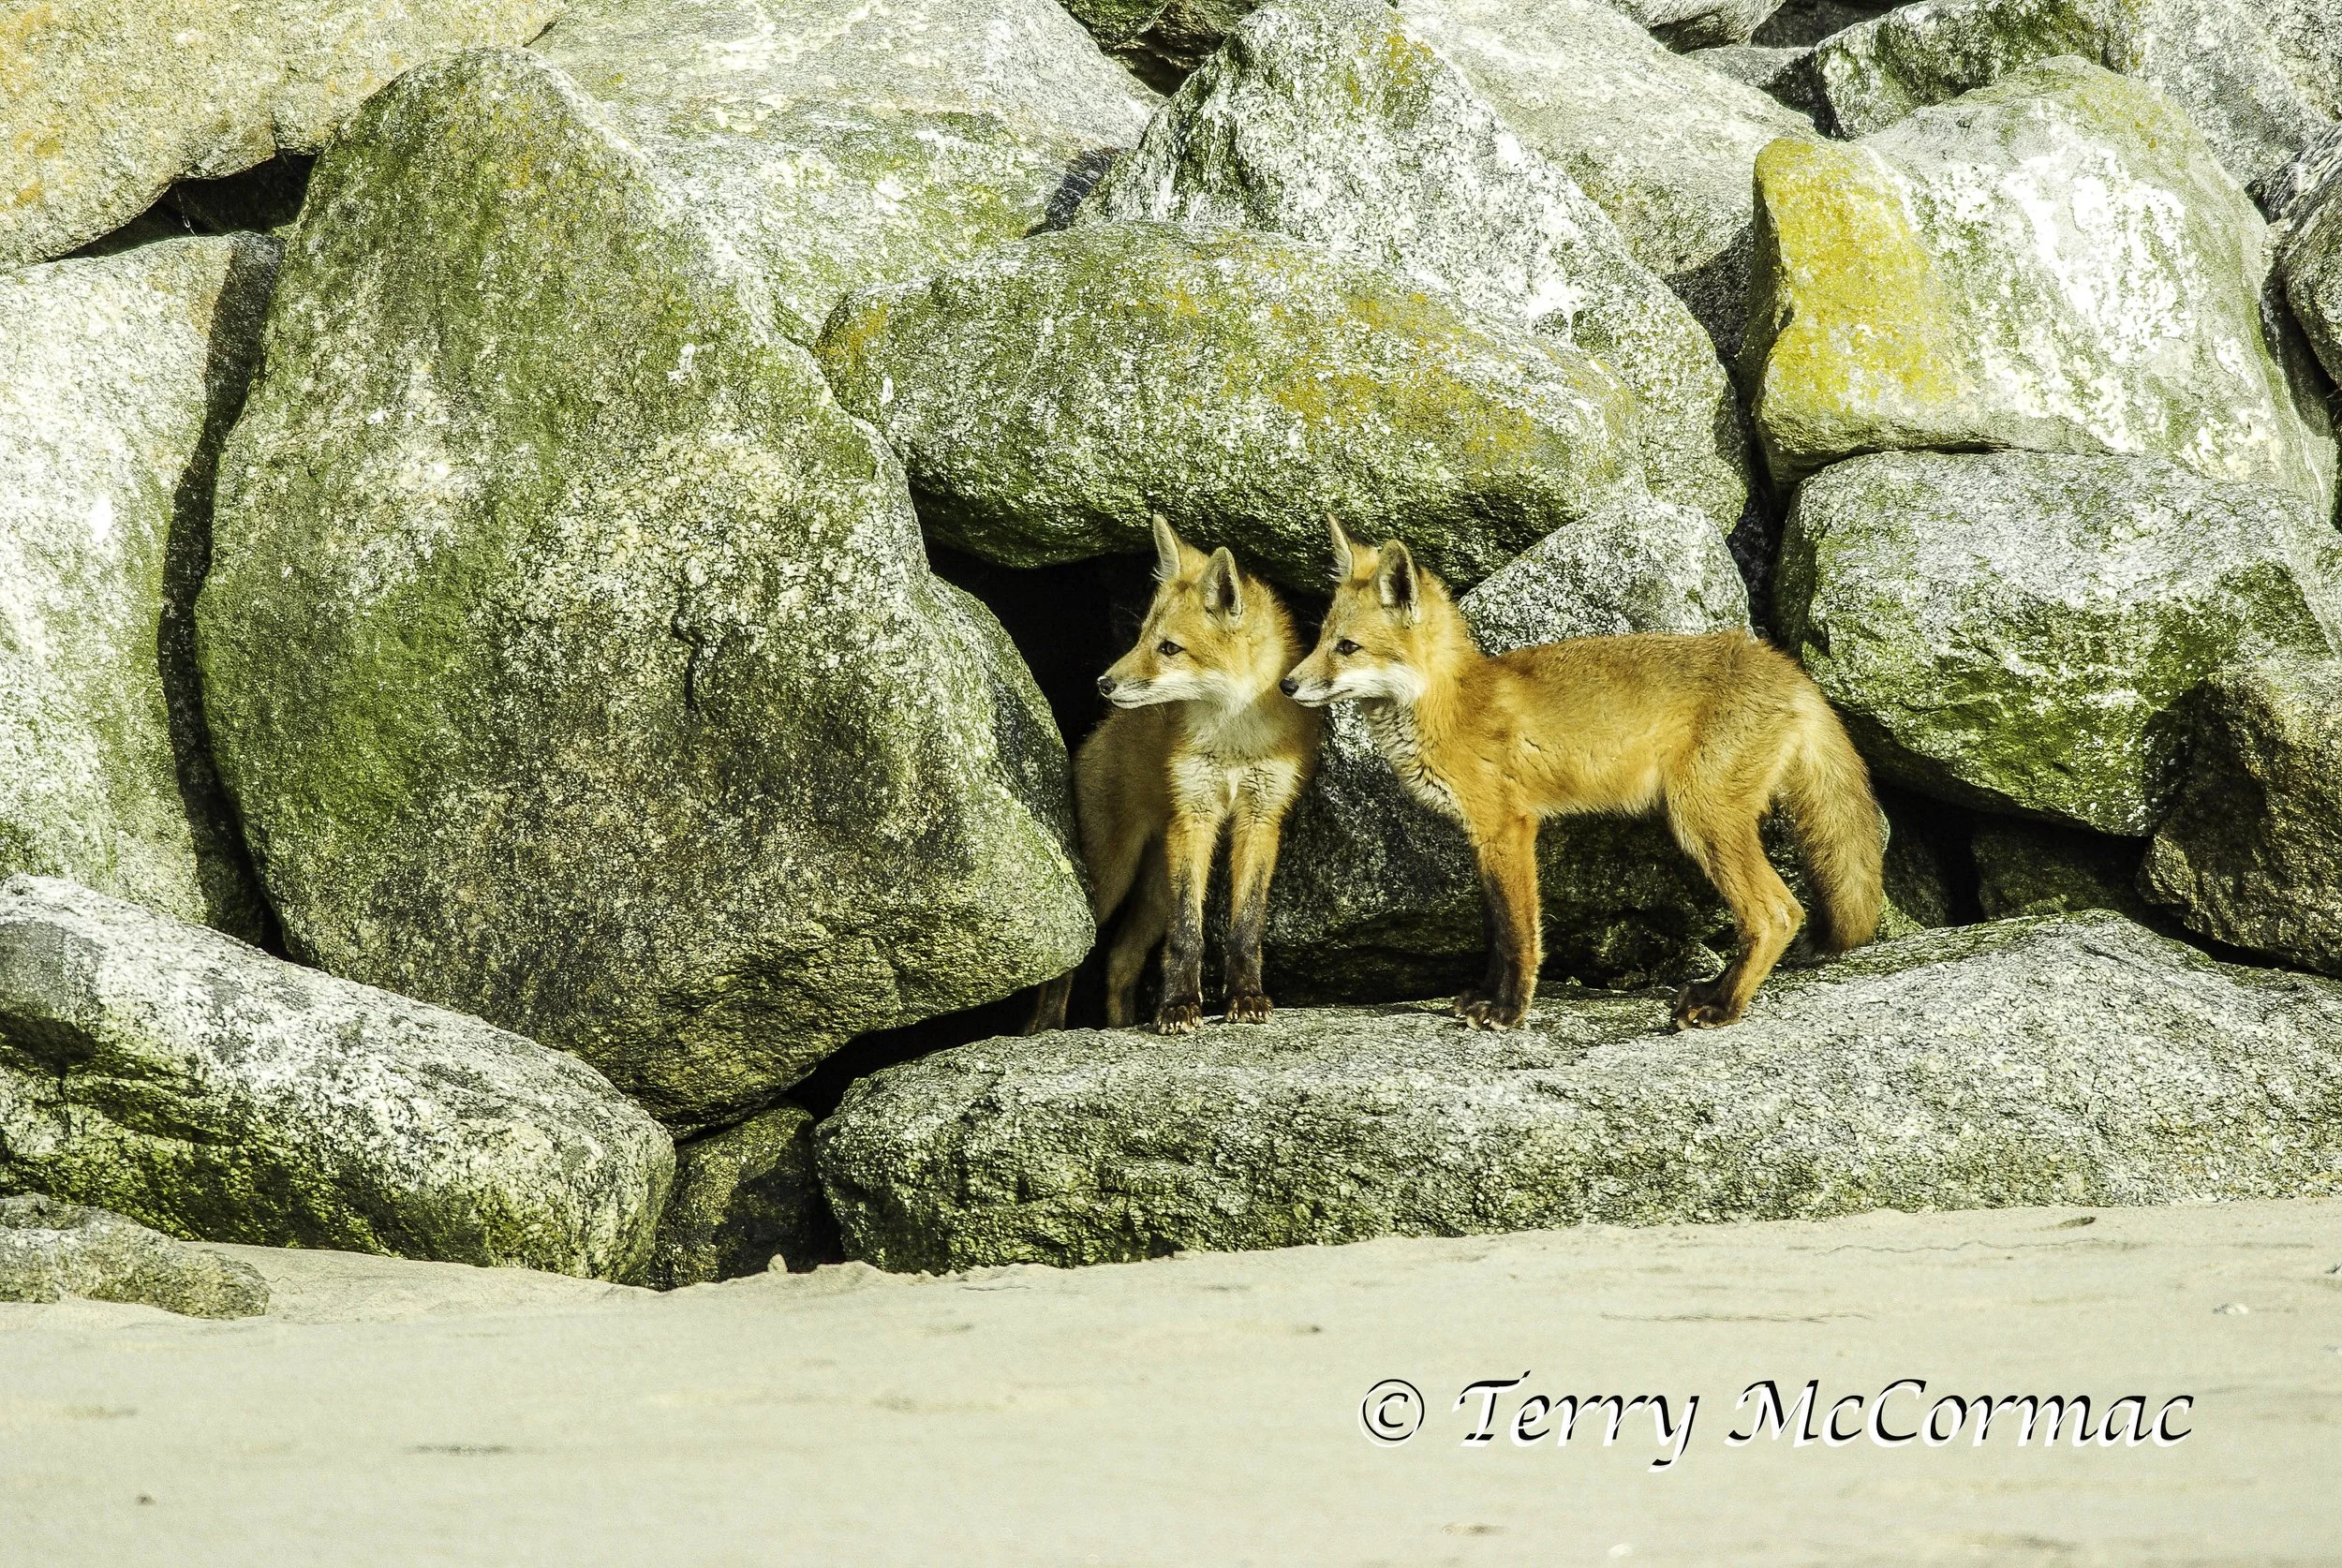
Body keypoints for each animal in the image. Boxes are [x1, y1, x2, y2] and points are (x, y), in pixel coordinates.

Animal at [1028, 516, 1322, 1035]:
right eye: (1142, 636)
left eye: (1170, 648)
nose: (1104, 683)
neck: (1232, 741)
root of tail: (1098, 732)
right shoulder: (1194, 816)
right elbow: (1188, 934)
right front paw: (1179, 1004)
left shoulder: (1261, 817)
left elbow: (1246, 926)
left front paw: (1246, 997)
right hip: (1111, 876)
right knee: (1076, 954)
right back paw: (1046, 1027)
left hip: (1153, 889)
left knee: (1121, 959)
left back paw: (1119, 1026)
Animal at [1280, 516, 1883, 1032]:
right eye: (1320, 639)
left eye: (1348, 647)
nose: (1286, 685)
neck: (1450, 706)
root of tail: (1785, 665)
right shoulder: (1483, 839)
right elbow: (1497, 933)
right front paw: (1486, 997)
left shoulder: (1509, 828)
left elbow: (1519, 934)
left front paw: (1509, 1011)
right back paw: (1711, 991)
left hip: (1701, 821)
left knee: (1778, 913)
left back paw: (1723, 1006)